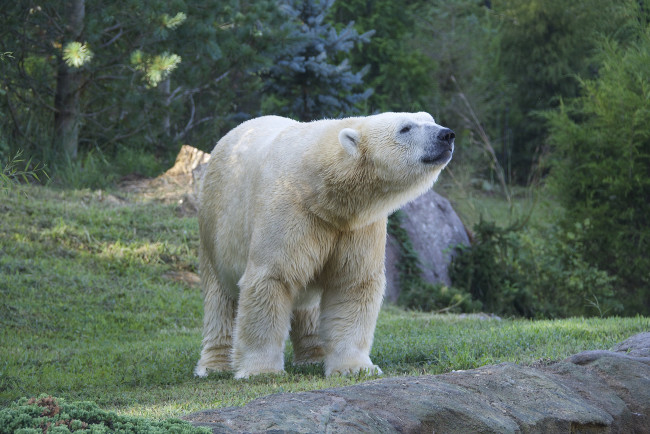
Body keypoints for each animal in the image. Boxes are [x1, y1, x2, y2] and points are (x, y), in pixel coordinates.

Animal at [195, 112, 454, 380]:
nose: (446, 135)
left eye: (429, 119)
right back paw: (213, 365)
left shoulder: (357, 225)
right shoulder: (289, 210)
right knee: (219, 299)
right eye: (405, 128)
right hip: (214, 226)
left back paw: (313, 356)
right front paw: (261, 371)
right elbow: (273, 278)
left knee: (306, 305)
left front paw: (355, 367)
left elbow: (352, 283)